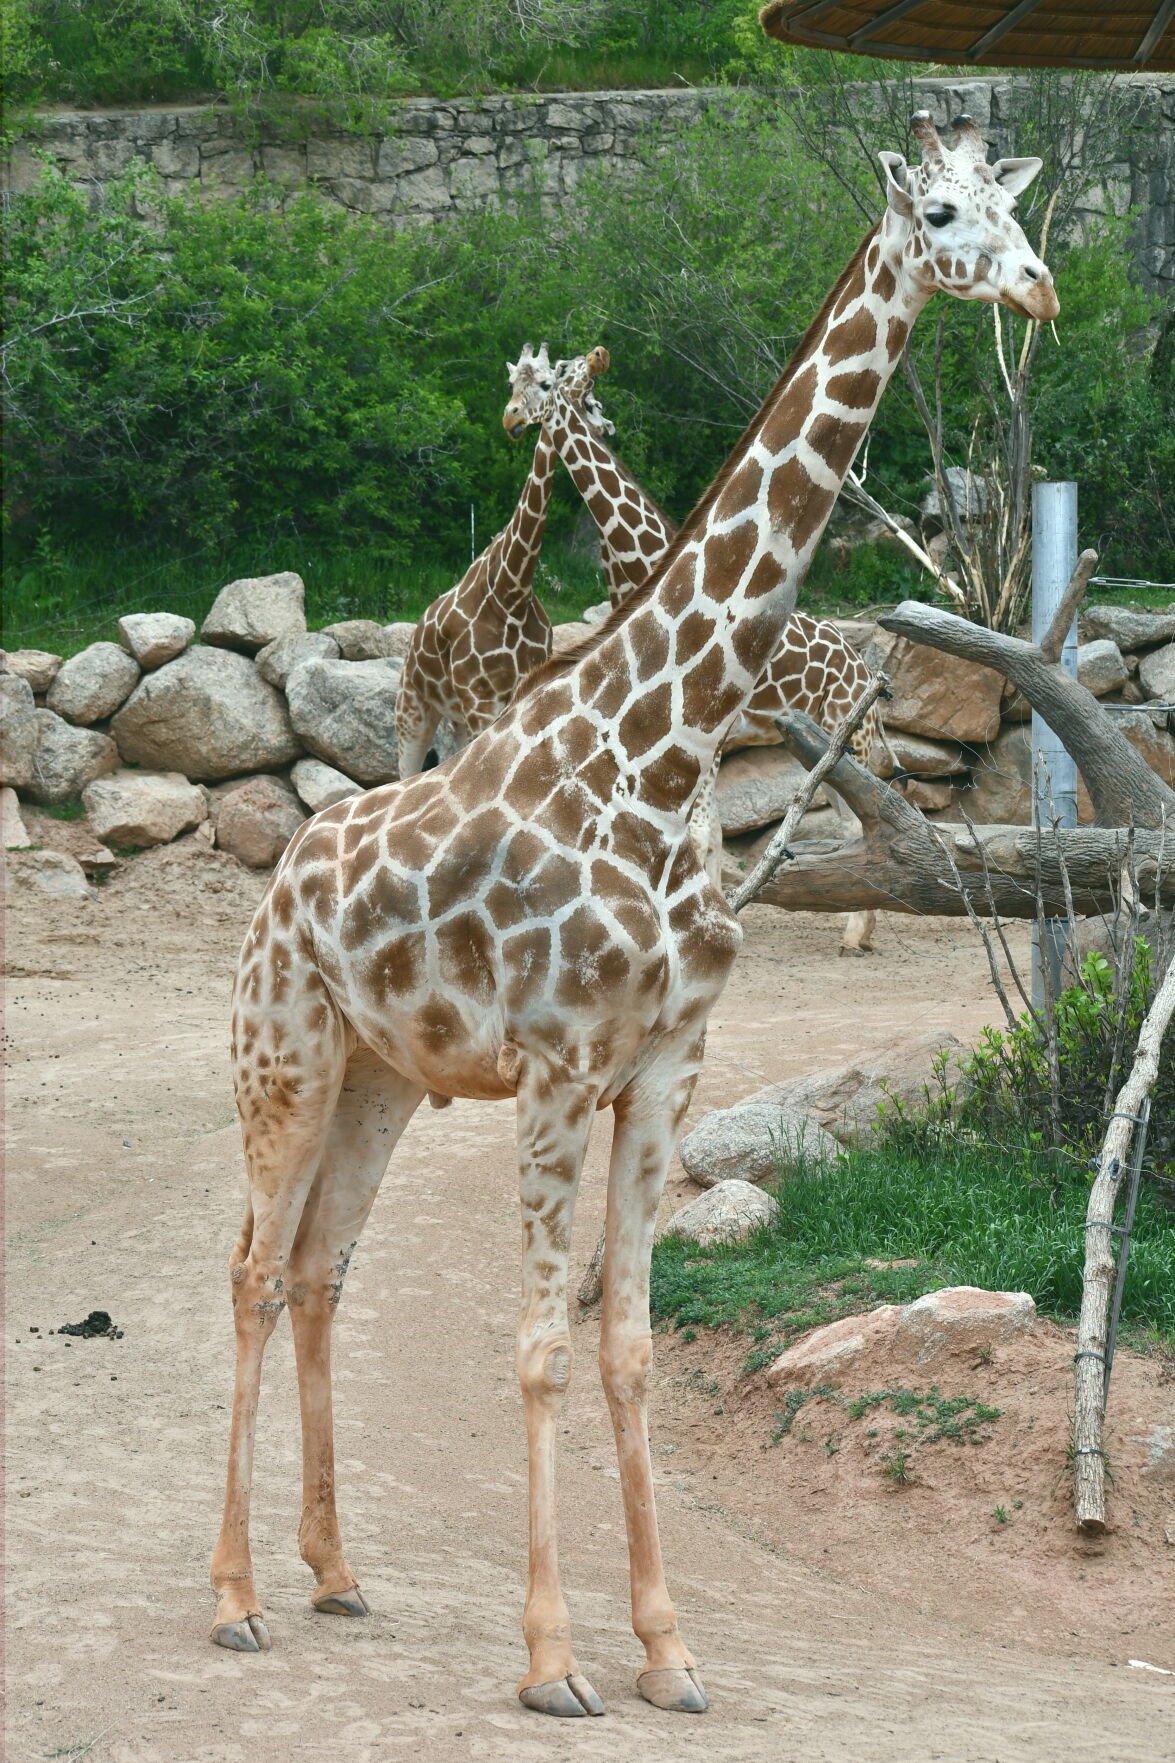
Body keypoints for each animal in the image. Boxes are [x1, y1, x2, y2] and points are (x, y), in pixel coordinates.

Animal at [393, 348, 608, 780]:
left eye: (546, 382)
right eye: (511, 384)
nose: (511, 419)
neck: (512, 590)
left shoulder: (522, 690)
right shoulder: (480, 700)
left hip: (456, 718)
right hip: (413, 710)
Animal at [505, 350, 894, 949]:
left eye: (551, 383)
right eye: (513, 382)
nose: (510, 418)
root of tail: (861, 668)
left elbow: (700, 832)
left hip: (844, 739)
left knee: (861, 820)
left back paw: (857, 934)